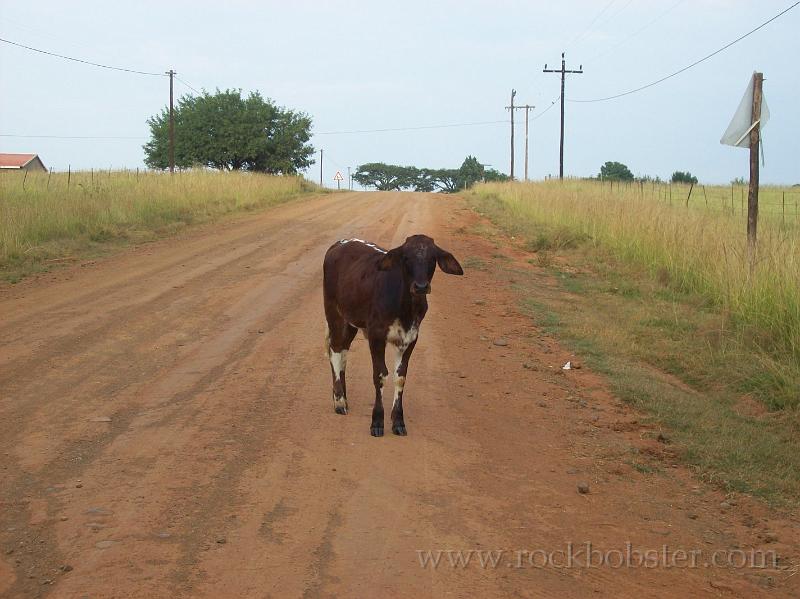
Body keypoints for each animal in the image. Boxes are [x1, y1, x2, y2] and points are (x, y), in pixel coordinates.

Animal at [324, 234, 462, 436]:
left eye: (432, 258)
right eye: (406, 258)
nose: (421, 287)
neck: (405, 307)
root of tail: (340, 243)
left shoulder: (411, 338)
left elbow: (400, 377)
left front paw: (398, 420)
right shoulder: (376, 336)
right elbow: (380, 375)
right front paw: (377, 421)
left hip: (351, 322)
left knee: (343, 352)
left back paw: (343, 396)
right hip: (334, 313)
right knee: (334, 350)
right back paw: (340, 401)